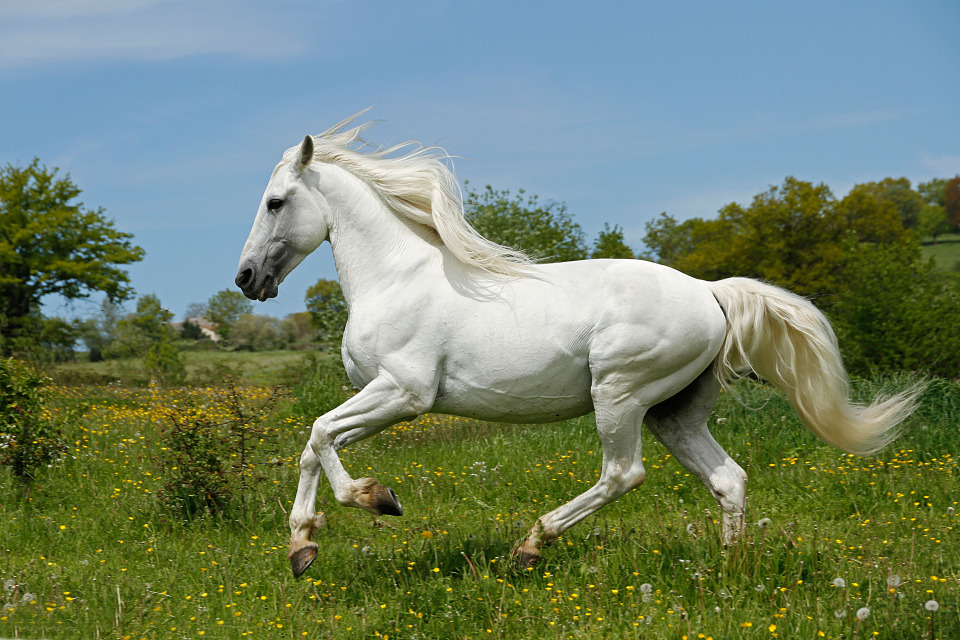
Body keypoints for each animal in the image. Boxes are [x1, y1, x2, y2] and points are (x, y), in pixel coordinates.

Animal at [236, 115, 920, 580]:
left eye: (275, 202)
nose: (245, 279)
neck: (396, 277)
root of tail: (711, 293)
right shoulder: (384, 398)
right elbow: (313, 446)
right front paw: (302, 547)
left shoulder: (404, 394)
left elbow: (320, 434)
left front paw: (376, 499)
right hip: (674, 412)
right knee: (728, 479)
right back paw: (728, 572)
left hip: (619, 394)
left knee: (623, 474)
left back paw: (530, 545)